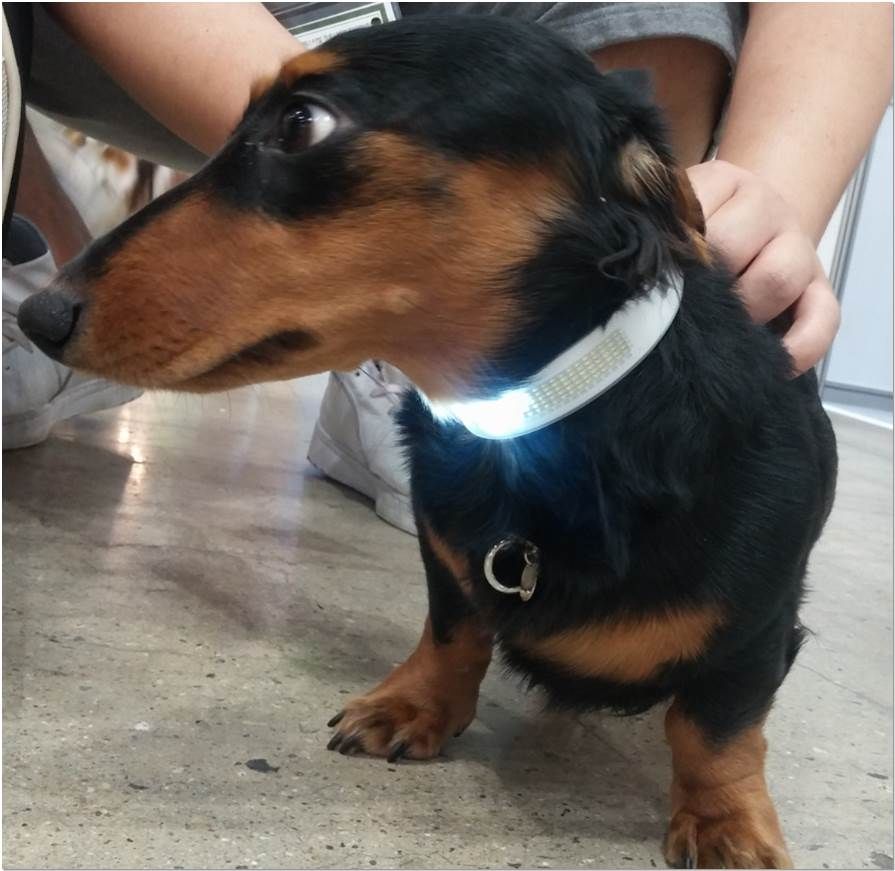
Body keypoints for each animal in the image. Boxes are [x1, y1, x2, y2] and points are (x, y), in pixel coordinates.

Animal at [18, 17, 838, 868]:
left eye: (301, 123)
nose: (38, 316)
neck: (526, 426)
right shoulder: (445, 559)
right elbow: (451, 632)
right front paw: (414, 704)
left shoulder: (755, 630)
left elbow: (714, 728)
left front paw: (722, 821)